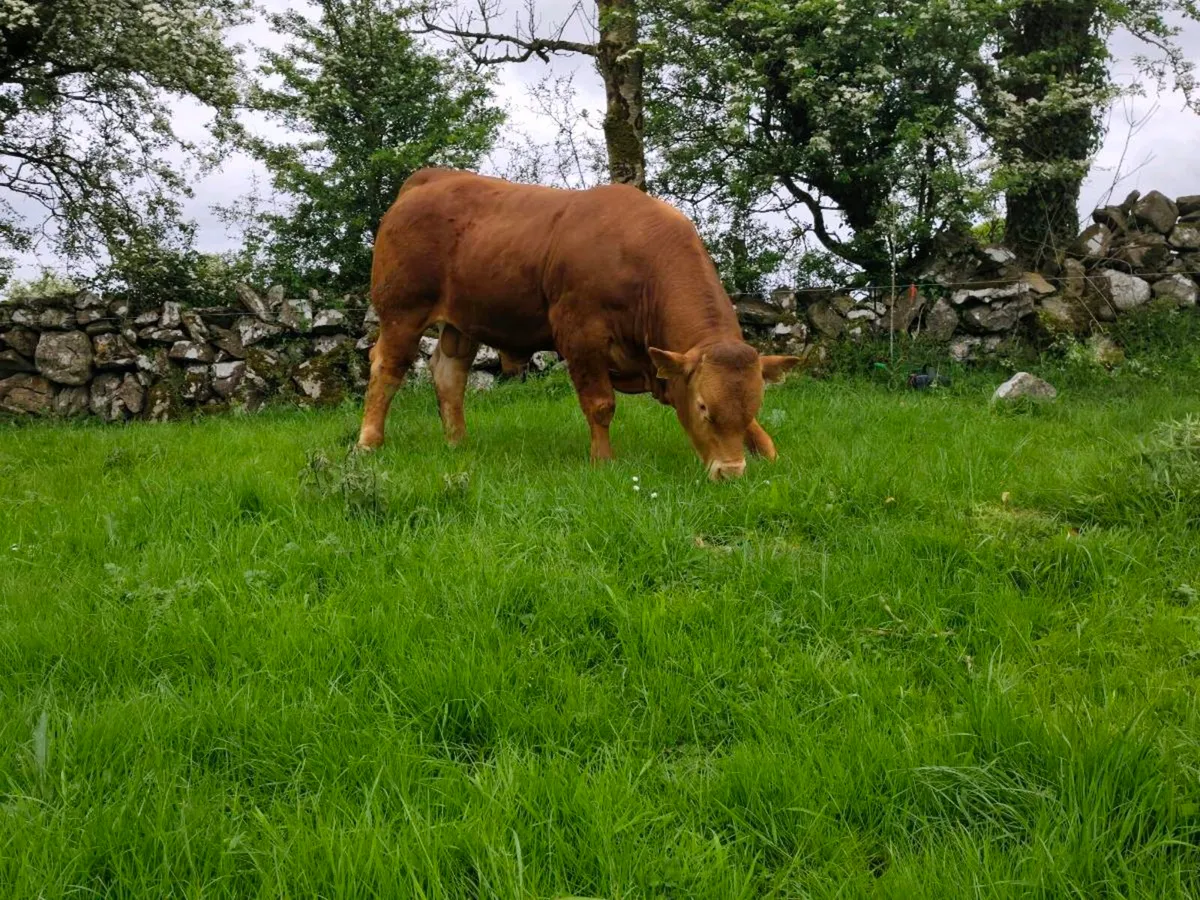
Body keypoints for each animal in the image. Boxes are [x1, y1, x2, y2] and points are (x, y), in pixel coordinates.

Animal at [357, 168, 800, 480]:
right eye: (703, 407)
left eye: (755, 402)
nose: (731, 473)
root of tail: (430, 178)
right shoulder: (581, 336)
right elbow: (601, 405)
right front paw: (603, 461)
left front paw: (769, 453)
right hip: (402, 311)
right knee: (387, 369)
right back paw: (368, 442)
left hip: (461, 323)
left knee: (449, 375)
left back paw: (457, 443)